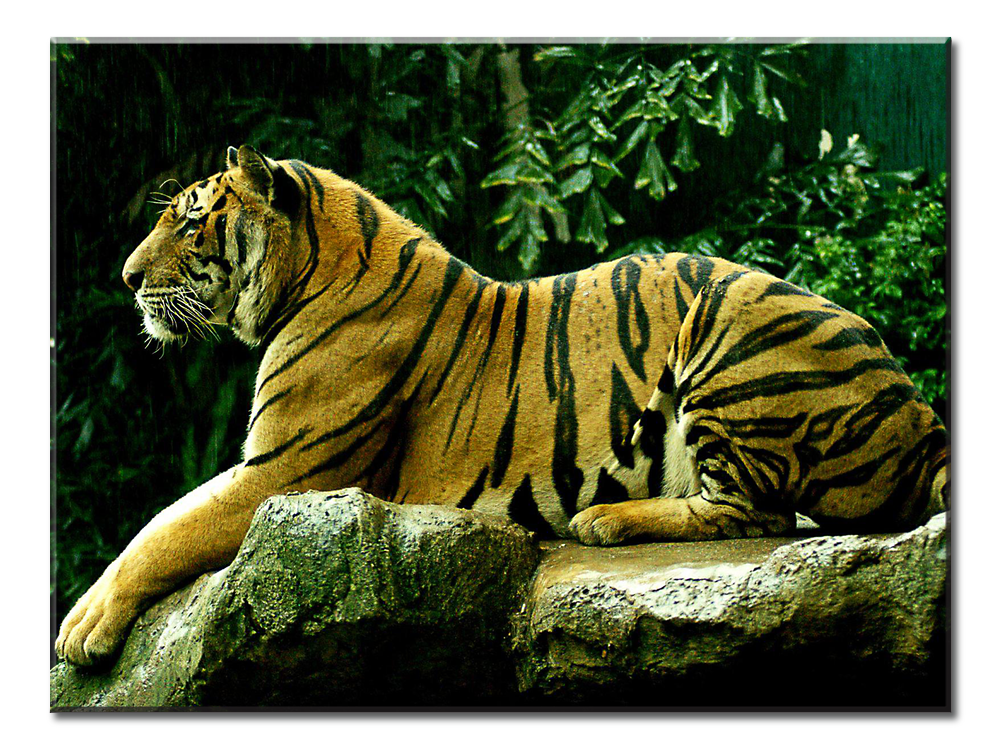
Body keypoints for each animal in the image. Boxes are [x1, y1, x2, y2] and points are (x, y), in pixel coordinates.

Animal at [55, 145, 949, 667]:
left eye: (191, 223)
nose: (127, 279)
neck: (305, 278)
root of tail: (918, 412)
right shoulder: (266, 467)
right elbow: (162, 520)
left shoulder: (286, 474)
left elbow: (163, 534)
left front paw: (82, 627)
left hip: (729, 318)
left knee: (758, 515)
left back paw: (606, 521)